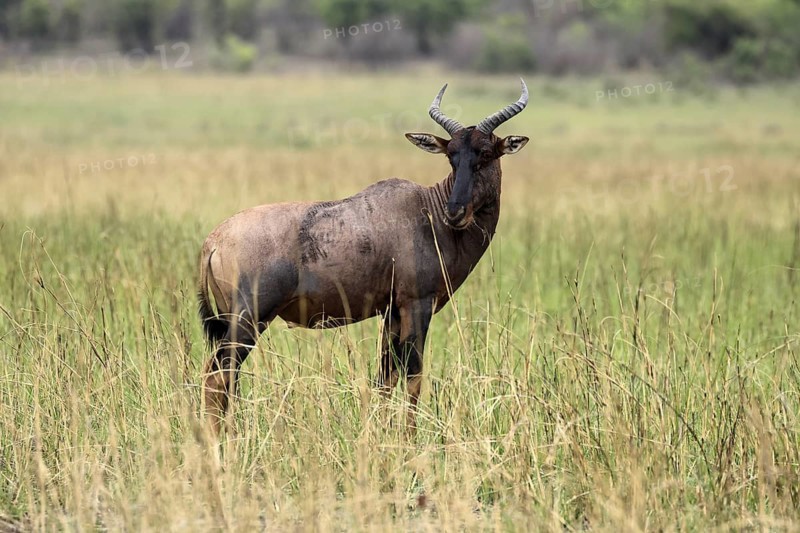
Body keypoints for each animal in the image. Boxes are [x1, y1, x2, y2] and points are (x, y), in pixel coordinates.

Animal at [198, 80, 529, 434]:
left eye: (485, 154)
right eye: (451, 156)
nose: (455, 213)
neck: (427, 212)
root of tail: (213, 242)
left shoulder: (392, 311)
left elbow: (386, 377)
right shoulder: (417, 304)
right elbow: (414, 375)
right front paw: (409, 438)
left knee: (226, 379)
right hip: (249, 319)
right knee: (217, 377)